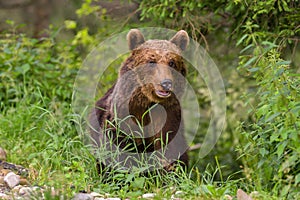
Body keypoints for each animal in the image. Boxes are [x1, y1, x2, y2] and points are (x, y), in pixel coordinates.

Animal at [89, 28, 190, 172]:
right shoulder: (123, 119)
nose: (166, 83)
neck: (151, 103)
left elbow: (170, 151)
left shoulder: (170, 119)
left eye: (172, 62)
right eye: (152, 61)